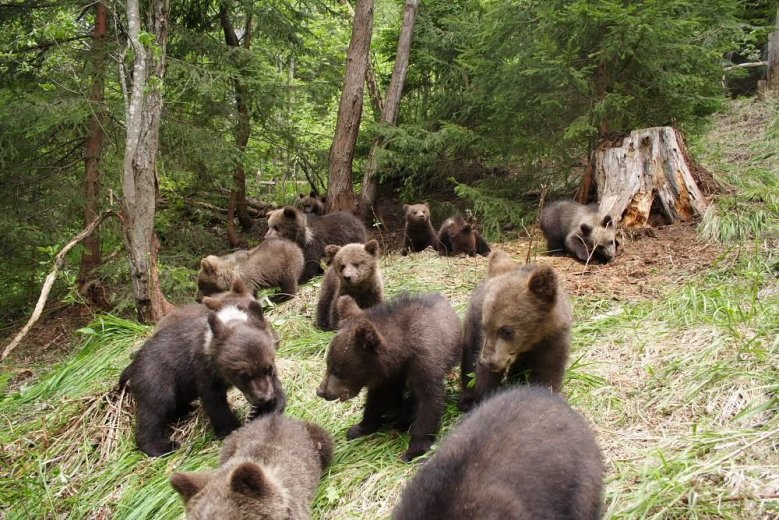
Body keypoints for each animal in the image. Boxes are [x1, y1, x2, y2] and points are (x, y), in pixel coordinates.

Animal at [119, 296, 286, 457]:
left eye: (269, 368)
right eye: (244, 375)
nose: (265, 398)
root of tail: (133, 364)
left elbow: (277, 388)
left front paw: (262, 411)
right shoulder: (204, 370)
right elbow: (215, 403)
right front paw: (232, 428)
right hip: (155, 375)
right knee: (154, 409)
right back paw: (162, 446)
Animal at [316, 293, 462, 461]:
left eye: (338, 369)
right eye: (328, 364)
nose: (321, 391)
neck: (402, 353)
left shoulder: (425, 363)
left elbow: (428, 402)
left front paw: (414, 450)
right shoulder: (386, 377)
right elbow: (376, 399)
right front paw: (359, 428)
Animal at [459, 250, 571, 412]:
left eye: (507, 330)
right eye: (485, 326)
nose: (486, 361)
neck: (532, 340)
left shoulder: (553, 342)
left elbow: (548, 374)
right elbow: (484, 378)